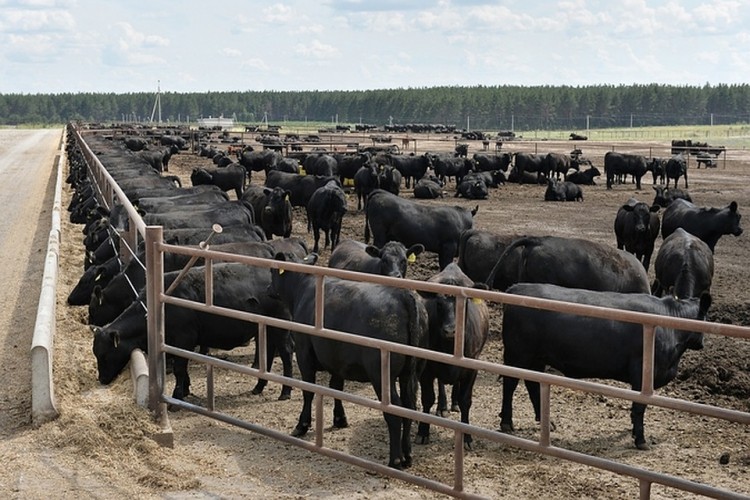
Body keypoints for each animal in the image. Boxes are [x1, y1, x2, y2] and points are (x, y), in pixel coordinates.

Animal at [92, 264, 296, 400]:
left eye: (105, 355)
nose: (101, 379)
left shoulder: (184, 339)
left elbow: (179, 369)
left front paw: (177, 396)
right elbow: (182, 368)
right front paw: (186, 389)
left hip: (281, 329)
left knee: (286, 353)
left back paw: (285, 392)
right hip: (267, 330)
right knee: (268, 354)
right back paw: (259, 386)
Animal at [268, 254, 428, 468]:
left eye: (272, 270)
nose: (268, 288)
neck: (304, 288)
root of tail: (404, 296)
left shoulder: (303, 352)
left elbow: (309, 390)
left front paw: (302, 425)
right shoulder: (337, 359)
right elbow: (336, 388)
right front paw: (339, 418)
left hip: (381, 374)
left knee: (394, 411)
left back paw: (394, 459)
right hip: (411, 372)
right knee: (409, 408)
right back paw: (408, 455)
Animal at [414, 264, 490, 452]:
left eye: (465, 303)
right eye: (439, 304)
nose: (450, 330)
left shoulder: (471, 369)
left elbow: (466, 401)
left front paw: (467, 437)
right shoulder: (427, 369)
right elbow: (428, 398)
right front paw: (423, 432)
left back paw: (453, 402)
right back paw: (443, 406)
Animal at [502, 284, 712, 452]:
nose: (702, 344)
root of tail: (518, 287)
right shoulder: (642, 374)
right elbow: (639, 406)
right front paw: (640, 439)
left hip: (536, 358)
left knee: (533, 384)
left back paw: (546, 421)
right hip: (518, 354)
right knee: (510, 384)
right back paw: (506, 423)